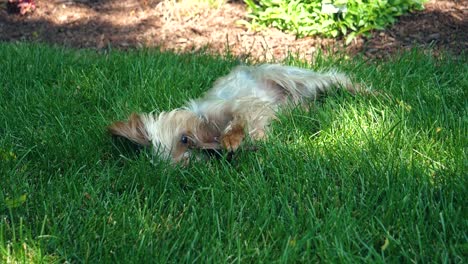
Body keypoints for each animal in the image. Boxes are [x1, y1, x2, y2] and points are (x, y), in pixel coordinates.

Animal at [109, 64, 358, 163]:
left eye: (185, 139)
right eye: (188, 163)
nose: (212, 149)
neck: (211, 125)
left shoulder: (240, 105)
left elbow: (239, 122)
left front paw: (232, 138)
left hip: (294, 77)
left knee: (338, 78)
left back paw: (366, 92)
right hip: (295, 102)